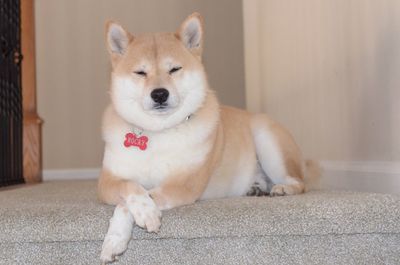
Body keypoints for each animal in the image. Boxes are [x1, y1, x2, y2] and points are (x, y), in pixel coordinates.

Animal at [99, 11, 318, 262]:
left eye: (174, 69)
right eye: (140, 72)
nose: (160, 94)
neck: (159, 132)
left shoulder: (183, 185)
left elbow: (132, 202)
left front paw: (141, 217)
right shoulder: (108, 181)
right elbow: (131, 188)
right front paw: (115, 240)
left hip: (267, 139)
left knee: (300, 183)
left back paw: (282, 188)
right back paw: (255, 187)